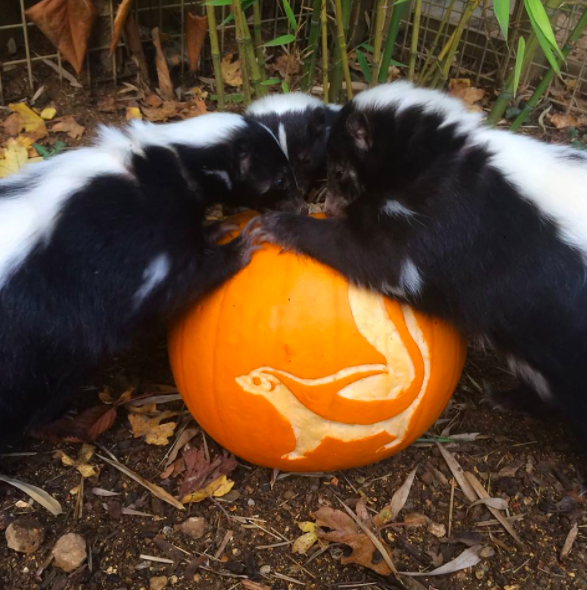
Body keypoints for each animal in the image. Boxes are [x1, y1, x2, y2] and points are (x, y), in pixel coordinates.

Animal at [0, 112, 300, 448]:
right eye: (279, 180)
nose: (301, 203)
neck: (169, 162)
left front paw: (214, 230)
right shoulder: (133, 251)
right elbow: (173, 288)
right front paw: (237, 247)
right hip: (33, 345)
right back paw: (63, 423)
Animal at [256, 81, 587, 454]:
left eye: (340, 170)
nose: (329, 205)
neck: (440, 157)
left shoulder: (445, 223)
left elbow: (380, 258)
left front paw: (281, 225)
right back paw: (507, 399)